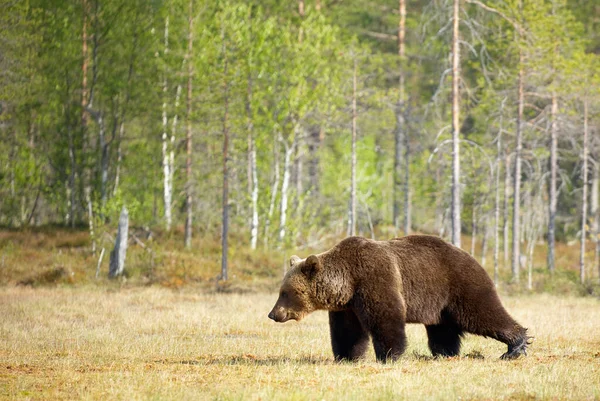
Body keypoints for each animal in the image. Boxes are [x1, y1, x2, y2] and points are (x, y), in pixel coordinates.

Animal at [268, 234, 528, 362]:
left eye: (285, 292)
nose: (273, 314)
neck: (347, 281)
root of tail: (470, 255)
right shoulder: (348, 306)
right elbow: (348, 331)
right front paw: (346, 356)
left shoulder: (375, 278)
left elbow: (386, 318)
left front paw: (389, 355)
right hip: (439, 302)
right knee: (442, 331)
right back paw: (445, 353)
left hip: (459, 284)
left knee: (483, 313)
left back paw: (515, 346)